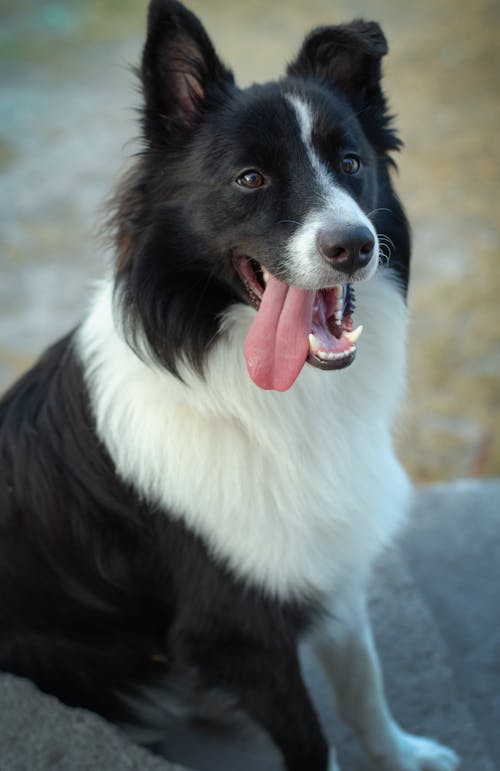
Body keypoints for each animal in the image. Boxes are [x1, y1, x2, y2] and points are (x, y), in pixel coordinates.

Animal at [0, 1, 458, 771]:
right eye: (250, 180)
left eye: (351, 164)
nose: (355, 247)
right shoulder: (240, 631)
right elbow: (312, 740)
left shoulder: (329, 559)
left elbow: (363, 683)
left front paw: (403, 754)